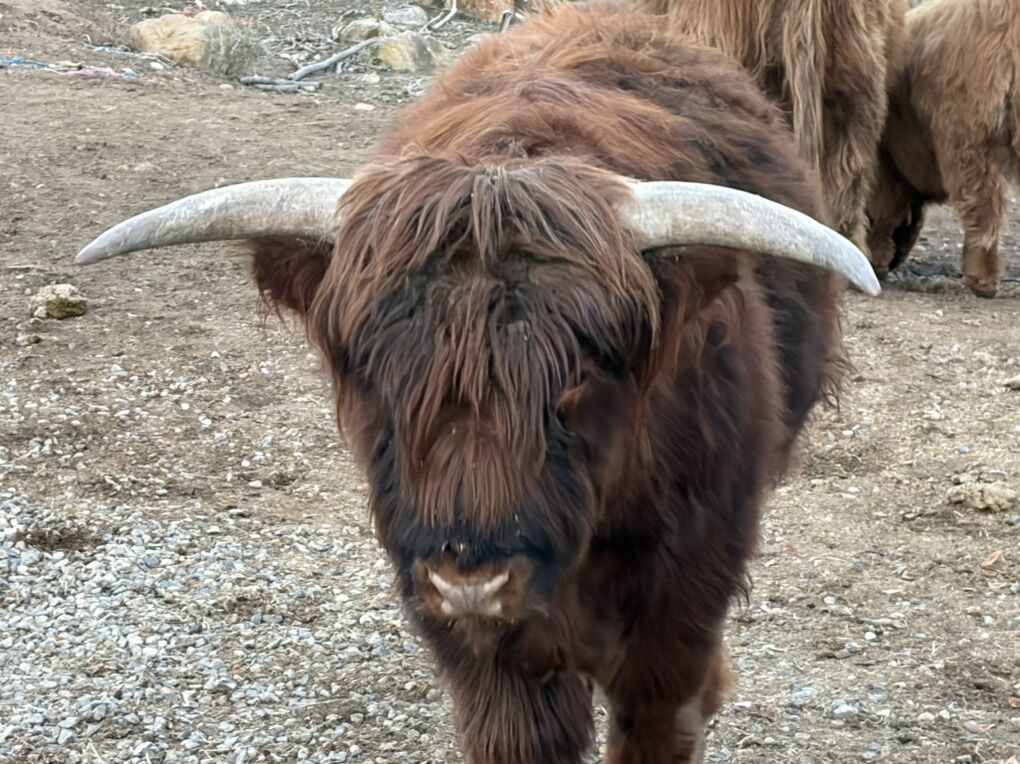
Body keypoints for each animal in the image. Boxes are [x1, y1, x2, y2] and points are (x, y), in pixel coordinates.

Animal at [74, 2, 879, 761]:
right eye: (373, 371)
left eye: (582, 375)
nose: (470, 581)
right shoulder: (487, 655)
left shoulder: (684, 597)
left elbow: (658, 722)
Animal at [866, 0, 1020, 297]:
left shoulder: (886, 161)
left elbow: (884, 209)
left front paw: (875, 259)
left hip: (967, 134)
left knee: (982, 207)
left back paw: (981, 280)